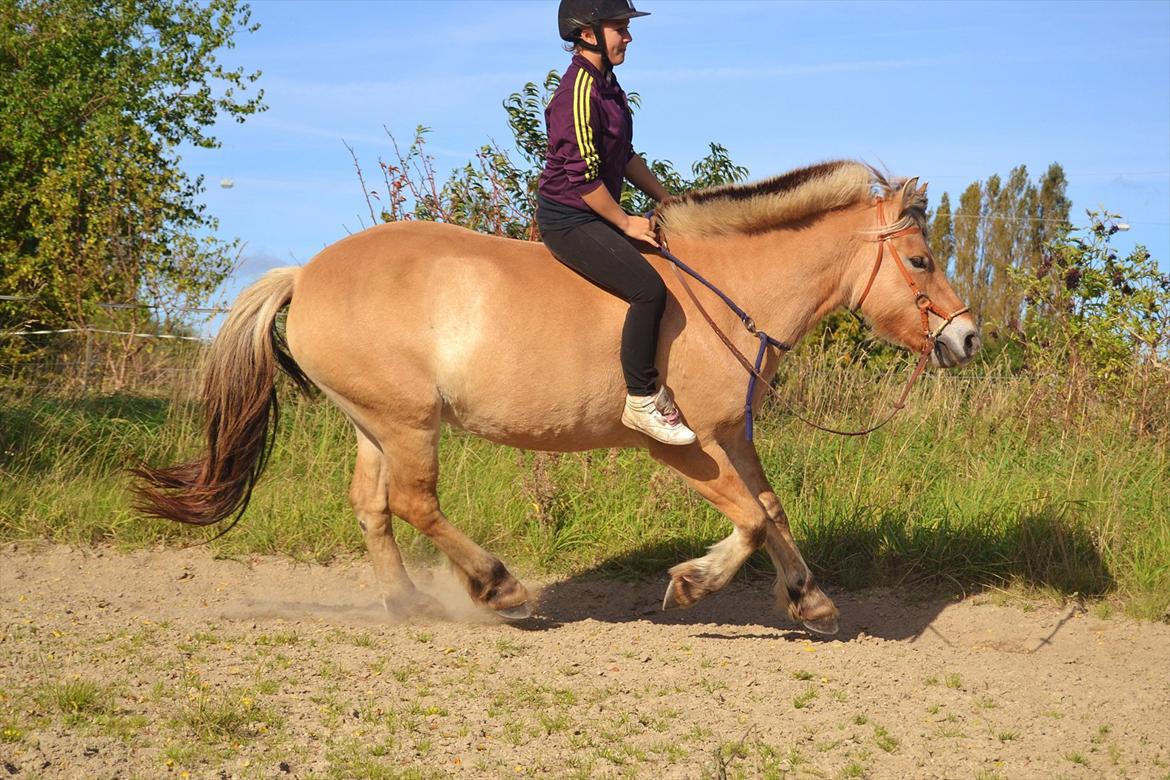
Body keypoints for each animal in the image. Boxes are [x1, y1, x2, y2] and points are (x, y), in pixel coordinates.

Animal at [134, 159, 978, 636]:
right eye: (920, 259)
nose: (966, 338)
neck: (726, 292)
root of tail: (305, 274)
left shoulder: (733, 436)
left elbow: (771, 510)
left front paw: (808, 600)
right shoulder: (687, 446)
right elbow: (748, 519)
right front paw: (692, 583)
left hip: (374, 421)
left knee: (373, 506)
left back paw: (410, 605)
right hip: (407, 422)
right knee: (413, 502)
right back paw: (499, 588)